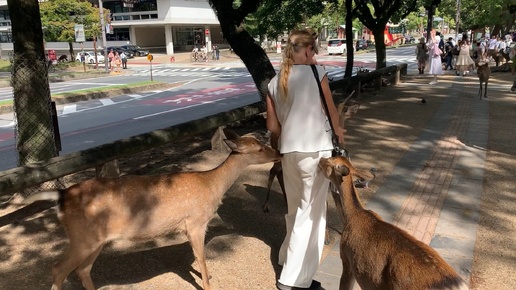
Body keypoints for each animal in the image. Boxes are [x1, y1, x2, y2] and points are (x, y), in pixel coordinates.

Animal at [23, 129, 282, 290]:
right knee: (58, 269)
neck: (212, 186)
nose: (279, 153)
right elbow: (202, 258)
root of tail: (61, 196)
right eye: (259, 149)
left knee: (82, 269)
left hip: (94, 240)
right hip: (82, 237)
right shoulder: (195, 222)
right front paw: (208, 282)